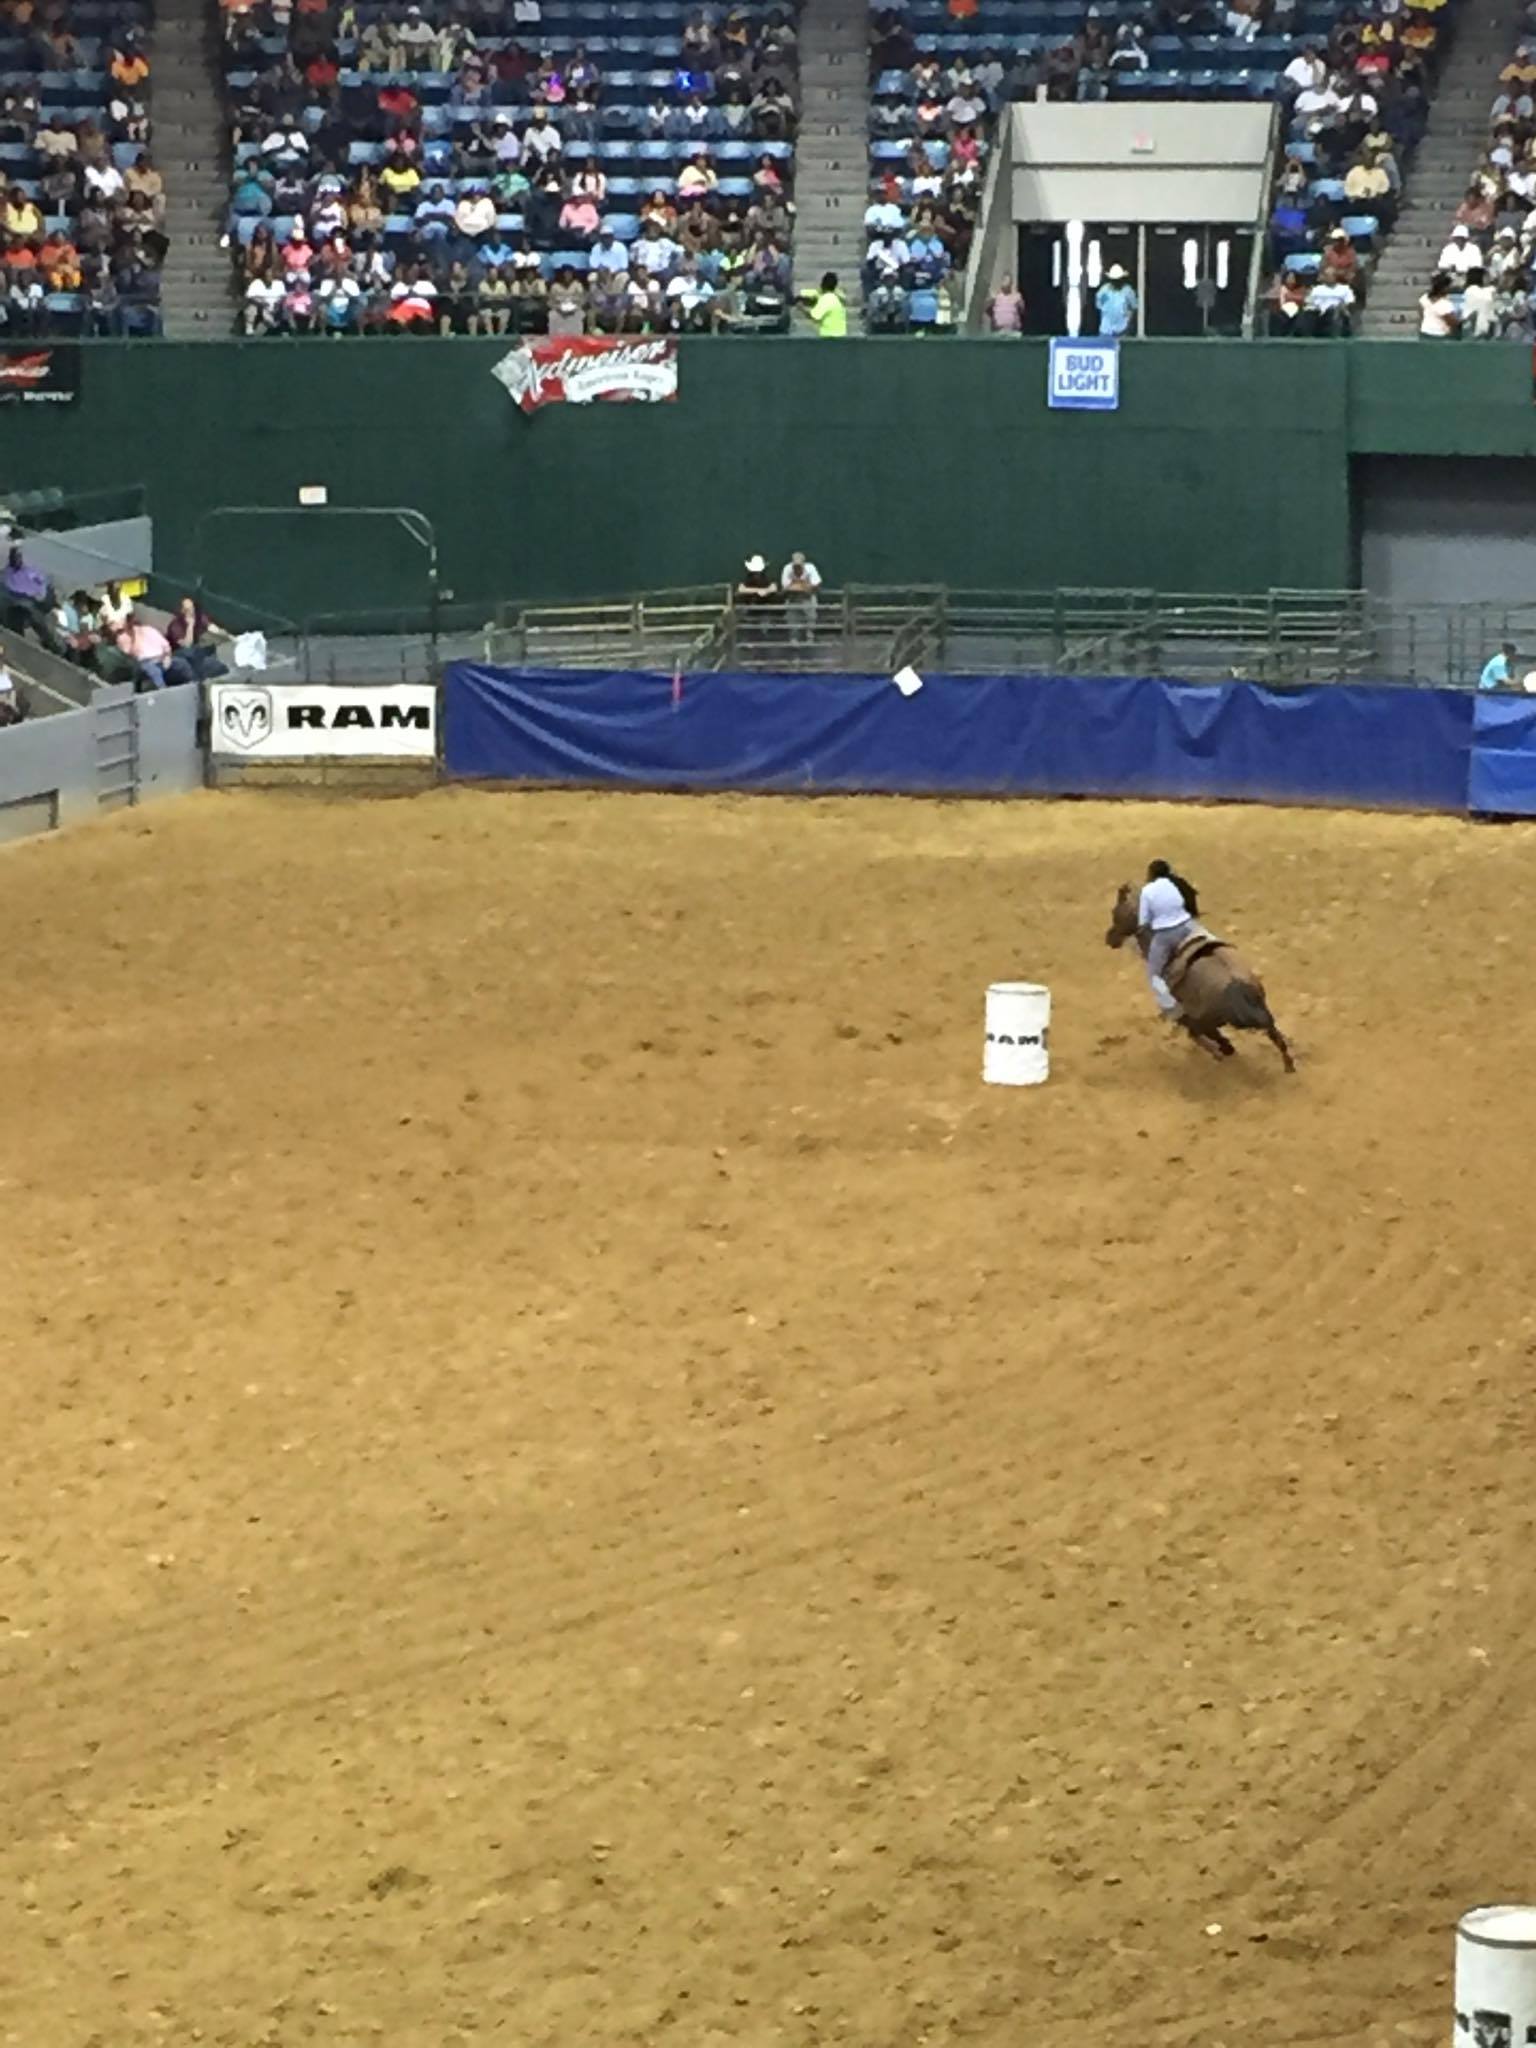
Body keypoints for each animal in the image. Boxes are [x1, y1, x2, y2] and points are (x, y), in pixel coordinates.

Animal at [1104, 883, 1296, 1073]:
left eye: (1116, 913)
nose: (1109, 938)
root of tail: (1238, 987)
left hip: (1205, 1021)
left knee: (1212, 1039)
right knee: (1275, 1038)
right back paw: (1288, 1065)